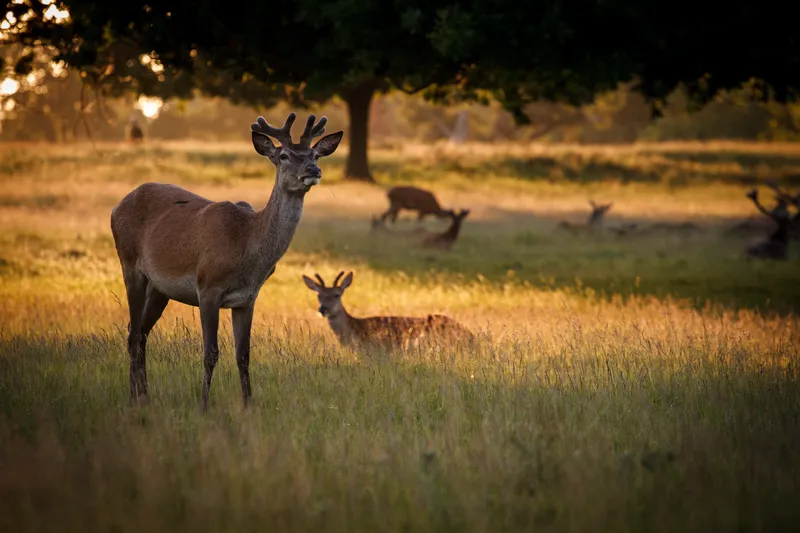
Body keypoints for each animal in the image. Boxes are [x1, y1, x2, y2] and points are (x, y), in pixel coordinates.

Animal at [110, 112, 343, 410]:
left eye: (315, 154)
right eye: (284, 156)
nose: (313, 170)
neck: (246, 246)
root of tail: (117, 206)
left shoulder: (247, 299)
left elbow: (243, 355)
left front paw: (248, 406)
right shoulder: (207, 288)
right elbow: (211, 352)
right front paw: (203, 405)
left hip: (160, 287)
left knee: (139, 331)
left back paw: (145, 395)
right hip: (129, 264)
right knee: (132, 333)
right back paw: (132, 398)